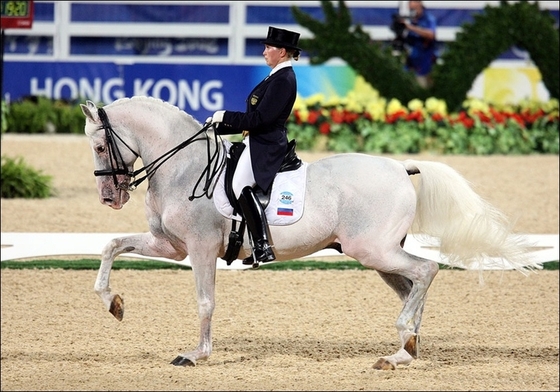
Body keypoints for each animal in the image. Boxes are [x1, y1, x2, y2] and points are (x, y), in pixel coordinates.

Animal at [81, 95, 536, 370]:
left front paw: (197, 355)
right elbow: (112, 245)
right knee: (413, 285)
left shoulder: (201, 248)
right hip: (379, 255)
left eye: (101, 147)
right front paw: (112, 303)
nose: (108, 198)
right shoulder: (171, 246)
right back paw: (406, 349)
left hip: (372, 250)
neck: (184, 167)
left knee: (426, 271)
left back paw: (400, 348)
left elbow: (205, 301)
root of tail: (398, 166)